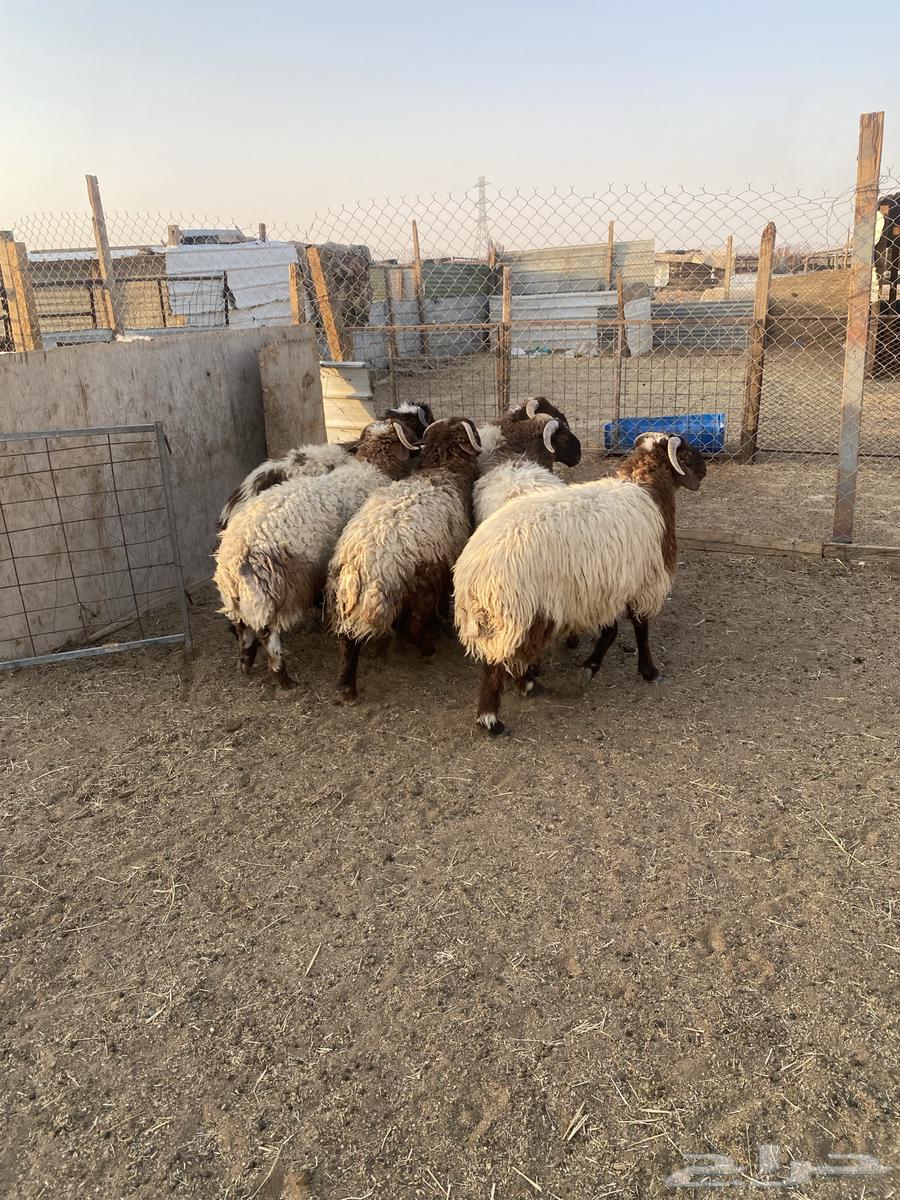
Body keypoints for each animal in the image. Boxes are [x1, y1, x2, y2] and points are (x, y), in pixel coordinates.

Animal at [214, 418, 420, 688]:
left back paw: (245, 663)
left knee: (243, 628)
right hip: (270, 593)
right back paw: (284, 679)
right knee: (268, 635)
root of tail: (233, 561)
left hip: (243, 600)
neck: (370, 468)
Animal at [327, 417, 483, 703]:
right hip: (420, 586)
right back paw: (428, 650)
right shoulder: (445, 567)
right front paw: (442, 624)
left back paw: (347, 687)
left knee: (346, 639)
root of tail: (362, 567)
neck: (444, 470)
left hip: (343, 600)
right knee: (413, 625)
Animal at [453, 432, 707, 735]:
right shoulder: (642, 581)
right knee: (501, 662)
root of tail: (473, 575)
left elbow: (611, 631)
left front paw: (591, 665)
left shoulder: (606, 587)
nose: (704, 470)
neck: (647, 489)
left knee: (498, 660)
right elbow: (640, 629)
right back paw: (497, 715)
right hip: (525, 612)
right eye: (687, 454)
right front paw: (649, 671)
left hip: (504, 619)